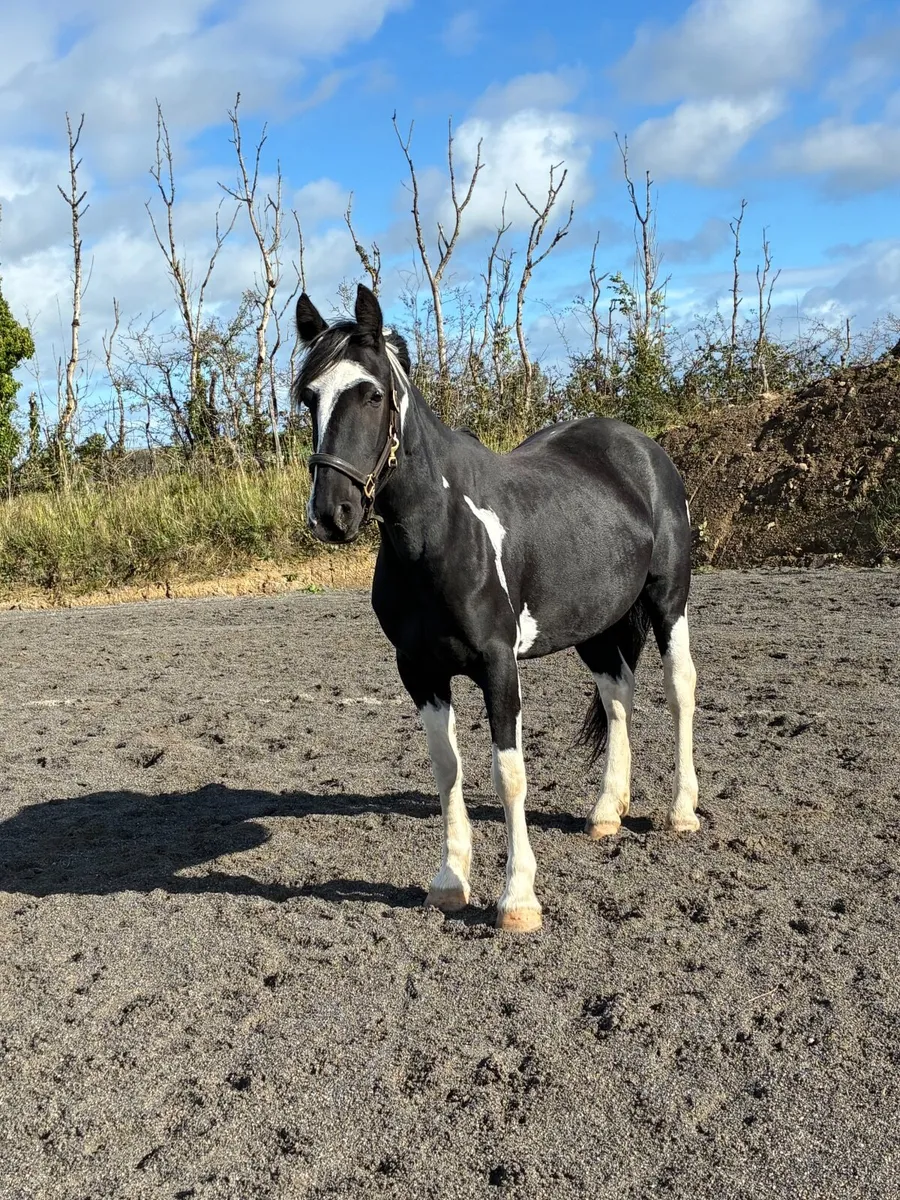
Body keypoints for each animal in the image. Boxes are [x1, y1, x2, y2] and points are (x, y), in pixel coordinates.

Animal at [294, 283, 700, 933]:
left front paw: (518, 899)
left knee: (678, 686)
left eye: (372, 394)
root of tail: (643, 449)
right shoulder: (420, 671)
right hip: (595, 624)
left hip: (668, 601)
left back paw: (682, 811)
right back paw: (606, 811)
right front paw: (449, 882)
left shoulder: (497, 664)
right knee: (618, 694)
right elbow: (447, 768)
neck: (439, 532)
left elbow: (509, 775)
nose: (331, 514)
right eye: (311, 398)